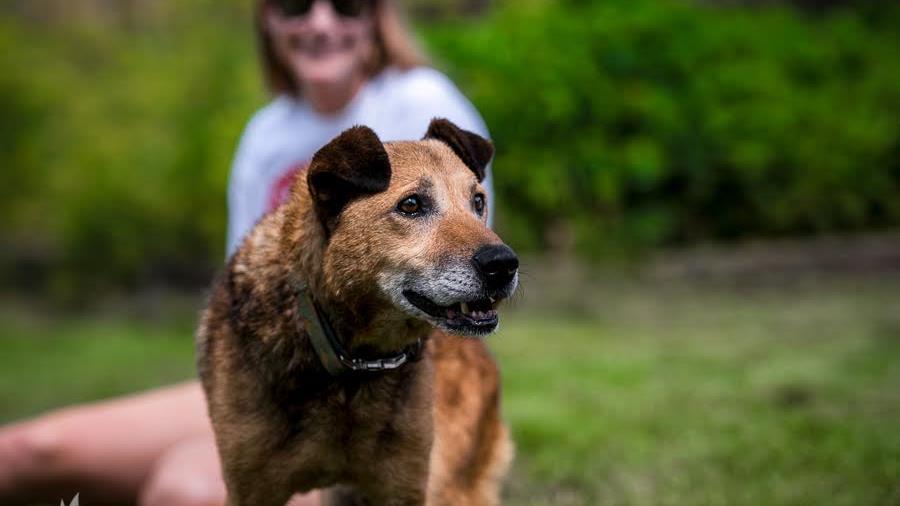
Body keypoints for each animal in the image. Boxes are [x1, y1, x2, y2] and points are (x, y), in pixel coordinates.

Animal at [197, 119, 520, 506]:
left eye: (478, 202)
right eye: (411, 205)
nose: (504, 265)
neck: (352, 363)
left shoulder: (402, 486)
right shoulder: (251, 489)